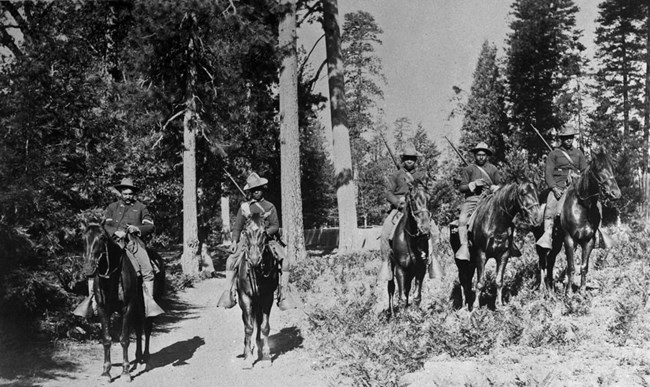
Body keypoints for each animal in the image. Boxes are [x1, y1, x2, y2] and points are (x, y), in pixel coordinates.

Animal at [81, 224, 163, 382]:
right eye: (83, 238)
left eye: (102, 237)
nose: (88, 268)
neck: (112, 277)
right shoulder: (103, 309)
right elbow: (107, 339)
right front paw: (106, 372)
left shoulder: (127, 308)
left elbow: (124, 339)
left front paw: (125, 372)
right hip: (137, 308)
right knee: (138, 328)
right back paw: (138, 357)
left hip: (148, 305)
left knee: (147, 328)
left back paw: (146, 359)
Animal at [237, 215, 280, 370]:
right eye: (246, 232)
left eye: (263, 233)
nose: (255, 260)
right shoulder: (245, 298)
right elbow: (248, 327)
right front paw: (248, 358)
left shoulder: (267, 298)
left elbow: (264, 327)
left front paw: (266, 356)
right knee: (246, 322)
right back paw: (247, 349)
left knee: (259, 321)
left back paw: (259, 347)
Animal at [384, 180, 430, 316]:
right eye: (413, 199)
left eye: (429, 198)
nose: (425, 229)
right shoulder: (400, 269)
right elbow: (402, 297)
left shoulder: (420, 268)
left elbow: (416, 296)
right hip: (391, 266)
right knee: (391, 288)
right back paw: (392, 314)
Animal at [446, 182, 540, 312]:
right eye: (523, 193)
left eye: (536, 192)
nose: (537, 218)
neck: (496, 222)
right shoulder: (481, 255)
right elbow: (480, 283)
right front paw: (476, 308)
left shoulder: (503, 255)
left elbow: (499, 281)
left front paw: (499, 305)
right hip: (461, 262)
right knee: (463, 280)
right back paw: (465, 306)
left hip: (471, 263)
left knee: (468, 280)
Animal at [536, 148, 620, 294]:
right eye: (599, 168)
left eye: (612, 167)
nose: (616, 193)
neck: (582, 207)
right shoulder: (569, 239)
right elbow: (571, 267)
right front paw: (569, 293)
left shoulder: (588, 241)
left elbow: (584, 267)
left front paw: (582, 292)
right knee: (542, 261)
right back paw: (542, 288)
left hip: (557, 242)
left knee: (551, 260)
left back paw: (551, 287)